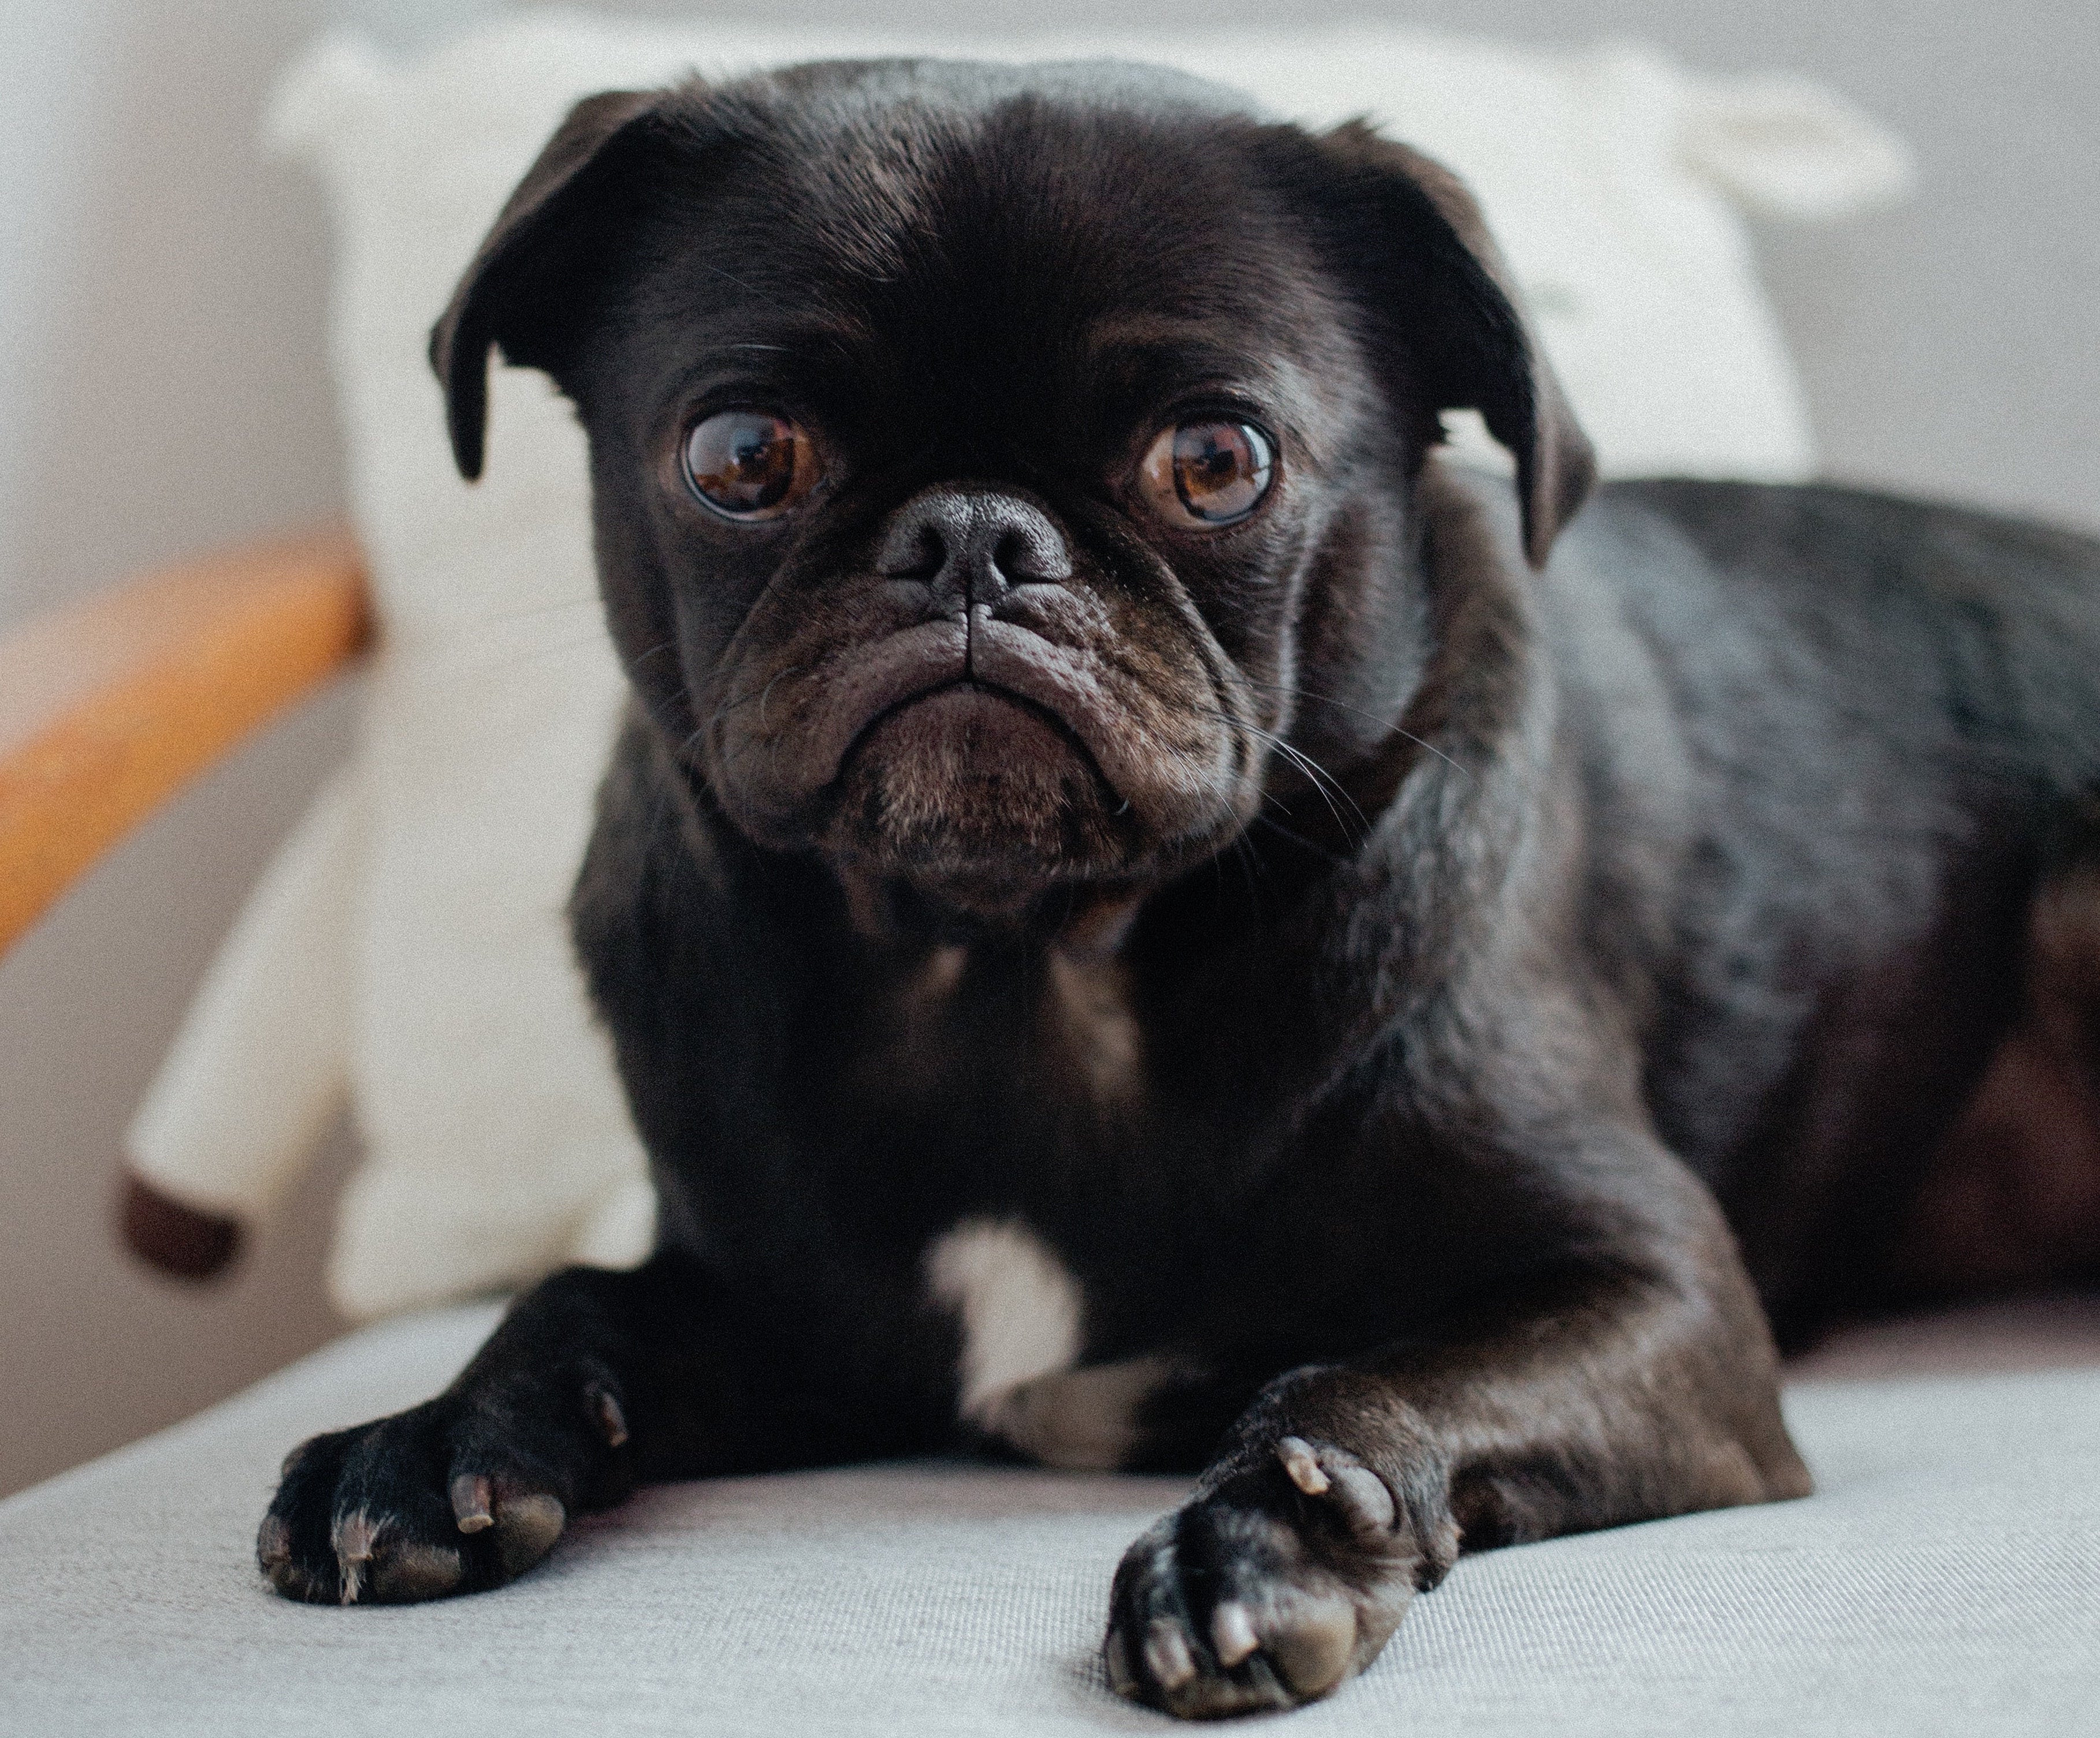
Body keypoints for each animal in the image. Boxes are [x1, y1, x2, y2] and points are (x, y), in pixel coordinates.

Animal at [258, 61, 2100, 1721]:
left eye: (1215, 461)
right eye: (740, 453)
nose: (973, 535)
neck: (1012, 960)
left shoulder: (1655, 1296)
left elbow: (1359, 1373)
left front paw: (1266, 1546)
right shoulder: (789, 1324)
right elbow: (582, 1295)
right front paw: (433, 1437)